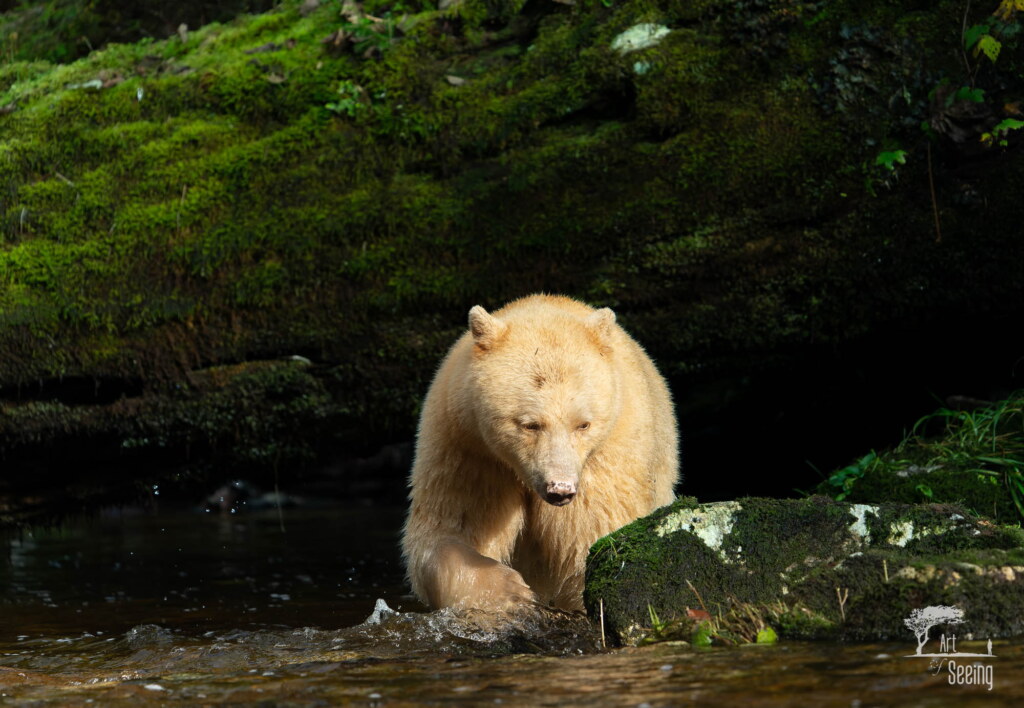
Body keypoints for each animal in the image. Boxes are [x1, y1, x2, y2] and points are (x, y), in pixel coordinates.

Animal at [401, 294, 679, 612]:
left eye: (583, 424)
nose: (560, 489)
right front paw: (509, 588)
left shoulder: (607, 459)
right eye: (530, 424)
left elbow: (591, 539)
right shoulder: (469, 447)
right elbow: (451, 528)